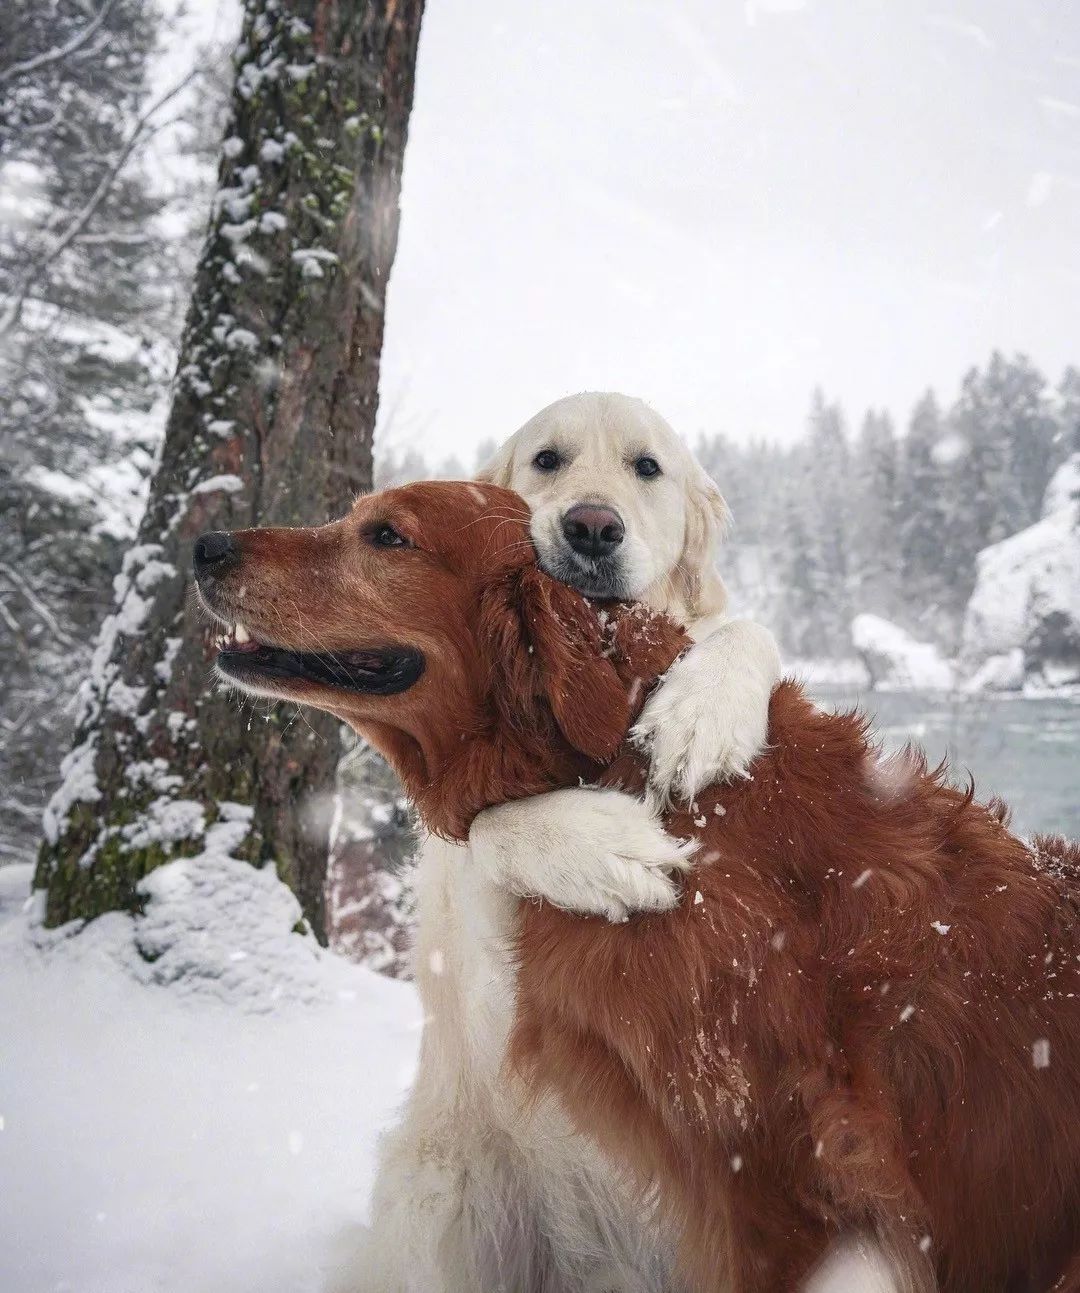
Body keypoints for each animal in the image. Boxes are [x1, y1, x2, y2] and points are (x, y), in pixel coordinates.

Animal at [336, 393, 776, 1293]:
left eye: (648, 468)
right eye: (547, 459)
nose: (592, 527)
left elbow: (746, 634)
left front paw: (703, 712)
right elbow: (484, 826)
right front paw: (607, 849)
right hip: (445, 1194)